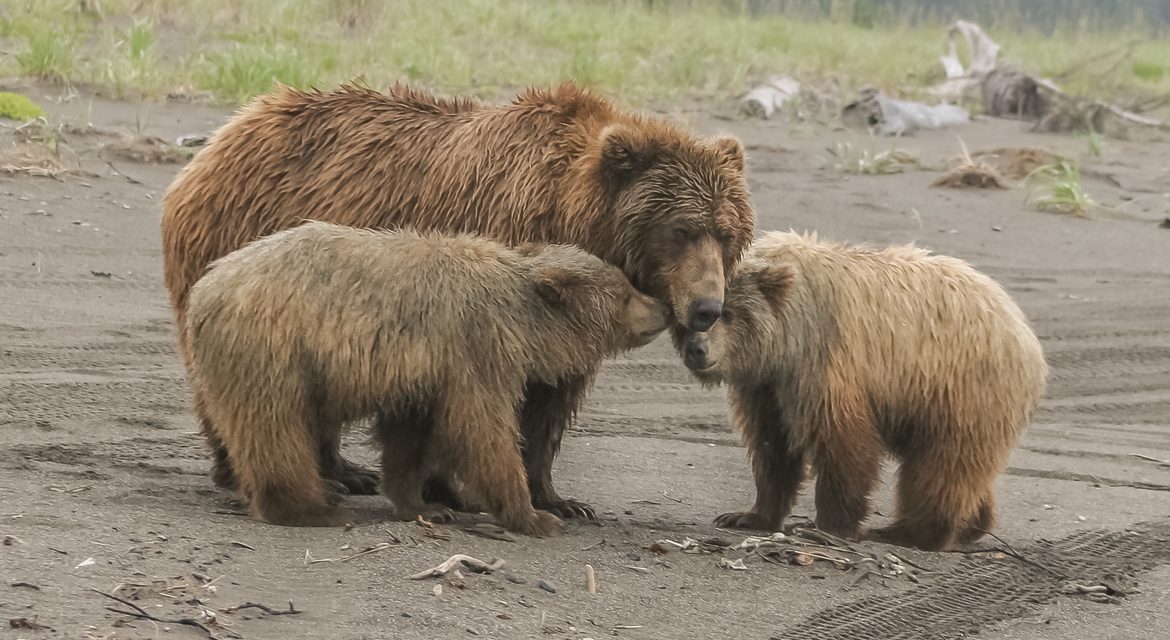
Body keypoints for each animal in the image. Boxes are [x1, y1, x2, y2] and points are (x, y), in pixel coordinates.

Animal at [185, 221, 670, 535]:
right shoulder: (474, 348)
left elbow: (410, 437)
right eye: (625, 292)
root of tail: (203, 291)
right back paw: (312, 508)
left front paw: (426, 506)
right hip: (275, 350)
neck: (522, 317)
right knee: (275, 429)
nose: (663, 307)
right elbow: (484, 432)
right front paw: (535, 516)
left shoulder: (423, 373)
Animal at [675, 231, 1048, 551]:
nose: (697, 350)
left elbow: (843, 442)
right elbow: (772, 447)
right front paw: (747, 515)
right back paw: (973, 524)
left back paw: (906, 532)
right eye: (695, 316)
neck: (786, 340)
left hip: (957, 388)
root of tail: (1023, 329)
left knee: (941, 467)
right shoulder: (766, 386)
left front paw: (826, 526)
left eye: (727, 314)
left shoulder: (826, 362)